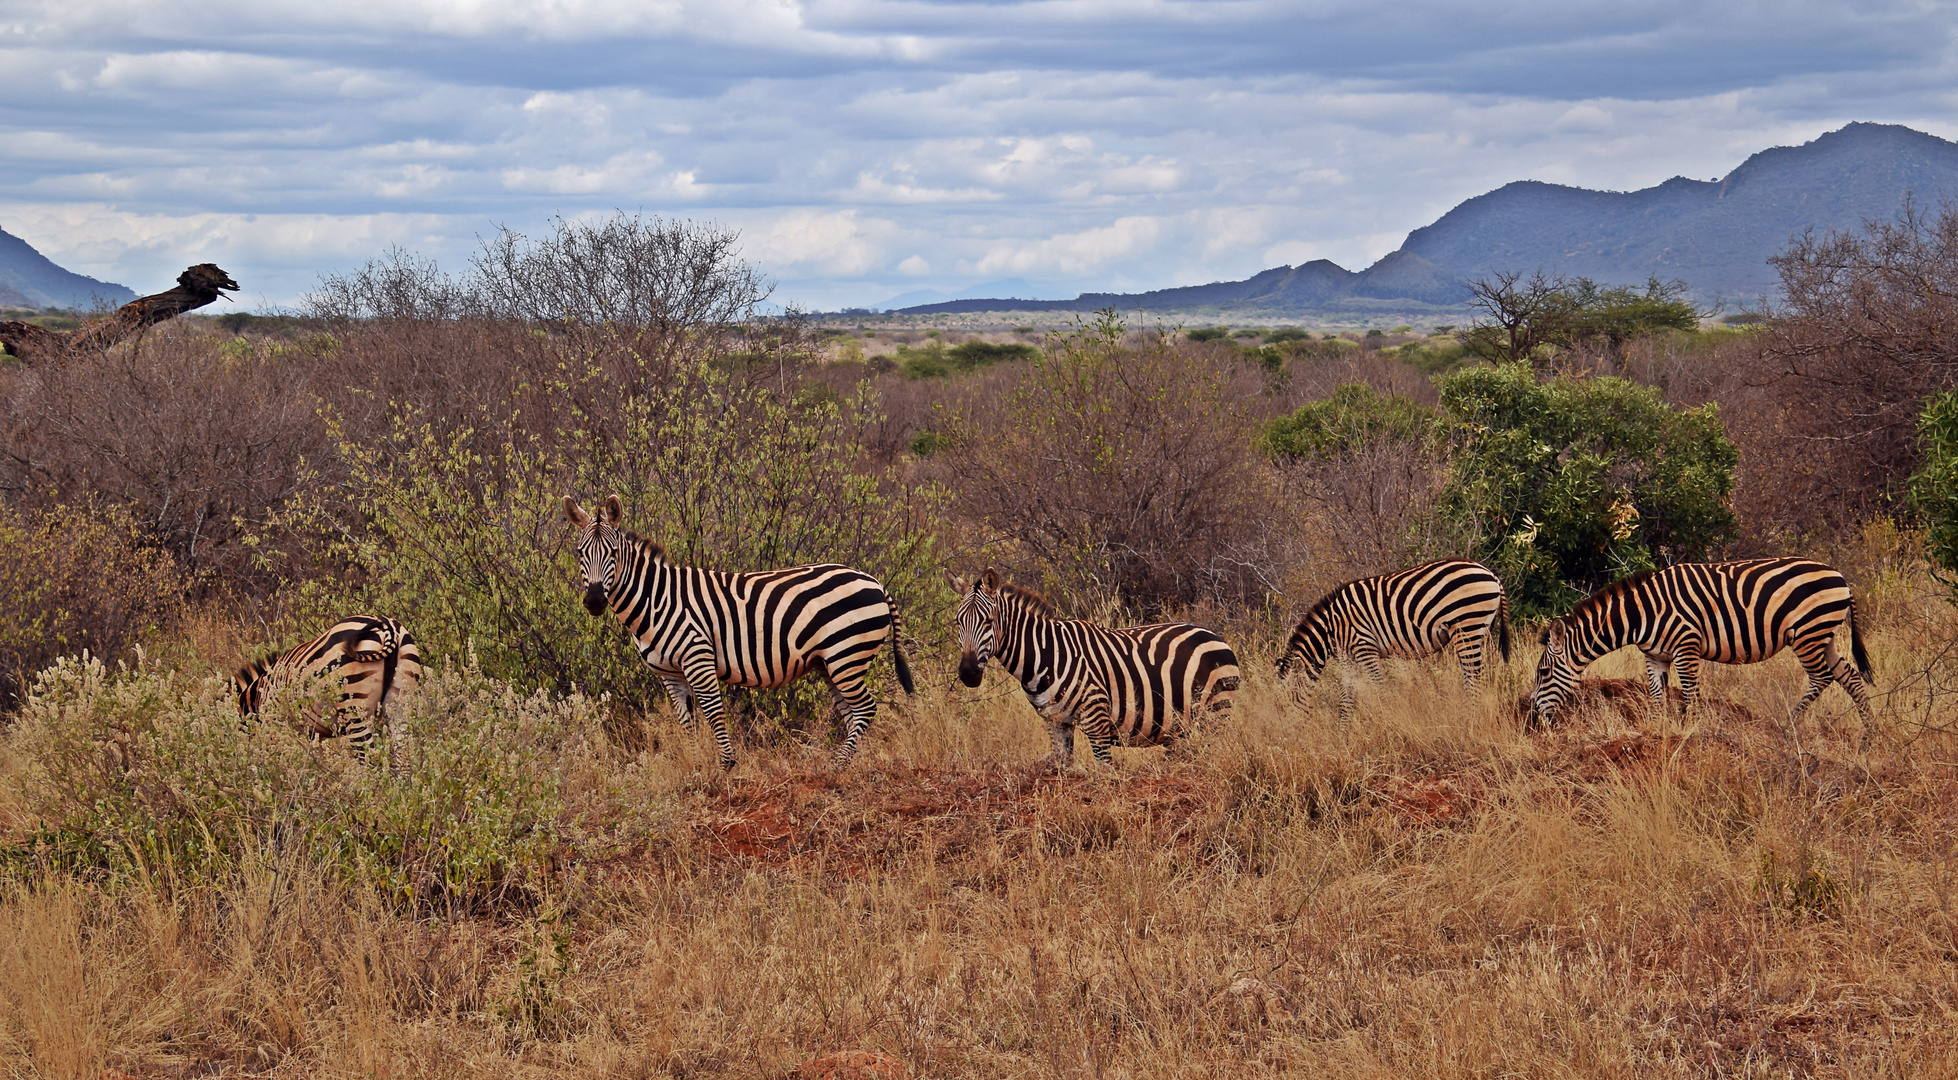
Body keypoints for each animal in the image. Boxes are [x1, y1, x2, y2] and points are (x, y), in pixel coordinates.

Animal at [234, 610, 422, 755]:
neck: (255, 698)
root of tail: (387, 626)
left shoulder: (279, 729)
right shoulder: (313, 734)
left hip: (354, 710)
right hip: (400, 703)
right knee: (403, 755)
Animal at [559, 493, 908, 770]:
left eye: (613, 553)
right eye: (579, 552)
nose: (594, 600)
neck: (656, 600)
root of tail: (875, 582)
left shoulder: (698, 658)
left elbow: (714, 713)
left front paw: (726, 765)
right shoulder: (670, 674)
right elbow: (686, 722)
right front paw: (696, 765)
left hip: (846, 655)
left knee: (866, 708)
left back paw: (837, 766)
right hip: (830, 663)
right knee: (852, 714)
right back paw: (846, 765)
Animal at [947, 571, 1237, 763]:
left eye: (989, 620)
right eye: (958, 621)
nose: (968, 673)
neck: (1046, 655)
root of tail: (1215, 635)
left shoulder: (1096, 719)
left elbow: (1104, 777)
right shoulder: (1056, 723)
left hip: (1215, 714)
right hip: (1184, 727)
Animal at [1268, 559, 1511, 720]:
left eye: (1284, 701)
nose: (1283, 737)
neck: (1331, 629)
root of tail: (1491, 575)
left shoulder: (1364, 647)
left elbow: (1379, 688)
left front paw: (1388, 721)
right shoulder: (1348, 657)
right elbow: (1346, 696)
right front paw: (1344, 733)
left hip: (1467, 626)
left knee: (1474, 677)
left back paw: (1470, 718)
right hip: (1476, 629)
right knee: (1473, 676)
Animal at [1527, 559, 1879, 731]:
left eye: (1543, 673)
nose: (1533, 716)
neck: (1641, 615)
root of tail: (1840, 576)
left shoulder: (1687, 648)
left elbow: (1691, 697)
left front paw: (1692, 734)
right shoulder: (1655, 657)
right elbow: (1657, 699)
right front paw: (1659, 733)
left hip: (1807, 633)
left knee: (1822, 677)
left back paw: (1787, 726)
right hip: (1823, 635)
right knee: (1848, 675)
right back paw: (1869, 737)